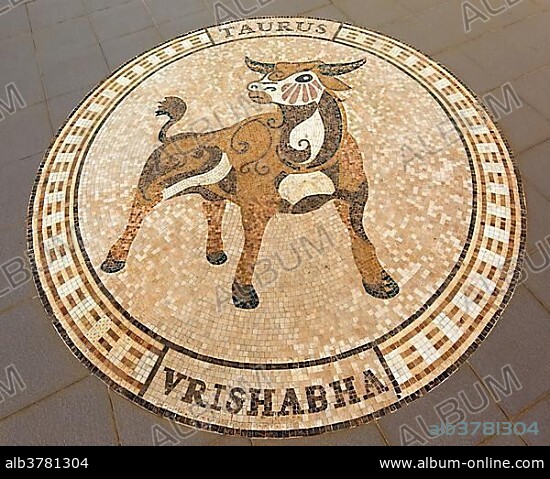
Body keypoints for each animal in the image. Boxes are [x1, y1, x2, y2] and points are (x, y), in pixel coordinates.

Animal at [100, 57, 402, 312]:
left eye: (304, 77)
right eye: (269, 71)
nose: (255, 87)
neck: (308, 157)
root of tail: (169, 139)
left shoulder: (352, 197)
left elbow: (362, 239)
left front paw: (381, 283)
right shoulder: (255, 207)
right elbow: (252, 249)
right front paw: (243, 294)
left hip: (212, 193)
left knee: (212, 213)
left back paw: (215, 253)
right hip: (158, 183)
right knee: (137, 214)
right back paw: (114, 260)